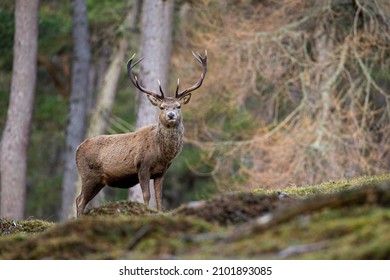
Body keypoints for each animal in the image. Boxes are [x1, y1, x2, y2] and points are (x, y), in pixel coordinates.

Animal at [74, 50, 206, 217]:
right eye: (162, 107)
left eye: (178, 106)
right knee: (80, 200)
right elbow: (146, 195)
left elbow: (159, 197)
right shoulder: (142, 166)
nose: (171, 115)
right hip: (88, 175)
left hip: (99, 181)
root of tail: (78, 148)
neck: (162, 154)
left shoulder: (161, 172)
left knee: (79, 199)